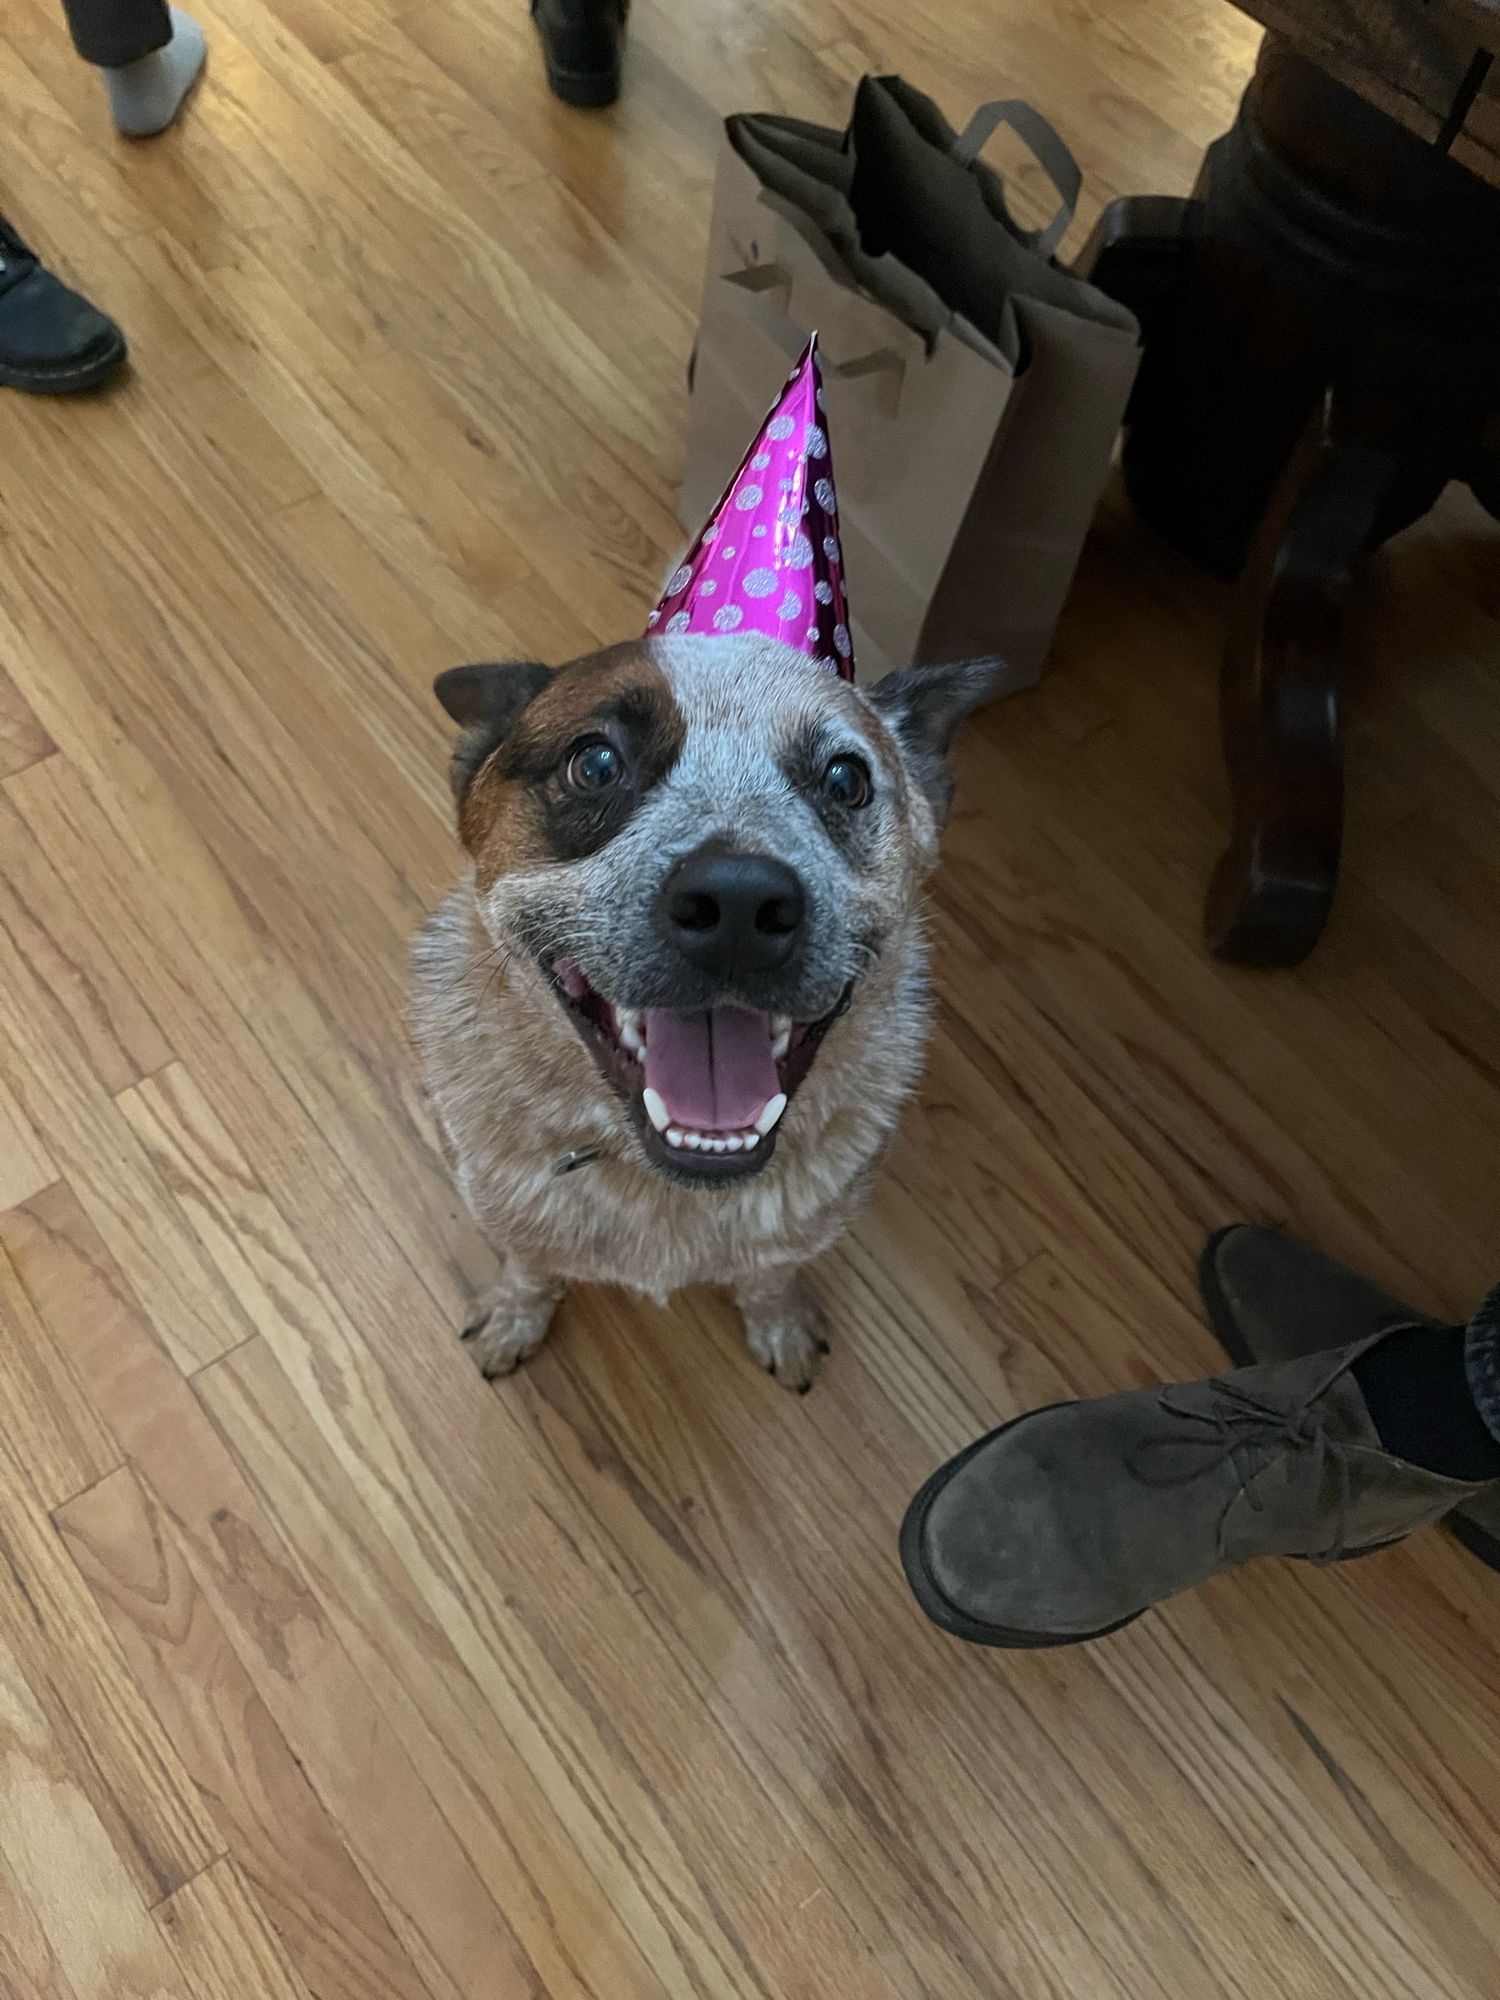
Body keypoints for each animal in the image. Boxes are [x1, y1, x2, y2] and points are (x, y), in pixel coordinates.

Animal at [412, 636, 1000, 1392]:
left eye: (846, 780)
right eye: (595, 764)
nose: (739, 904)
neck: (664, 1185)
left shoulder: (797, 1232)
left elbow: (770, 1274)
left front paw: (780, 1323)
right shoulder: (502, 1205)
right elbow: (529, 1263)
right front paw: (515, 1317)